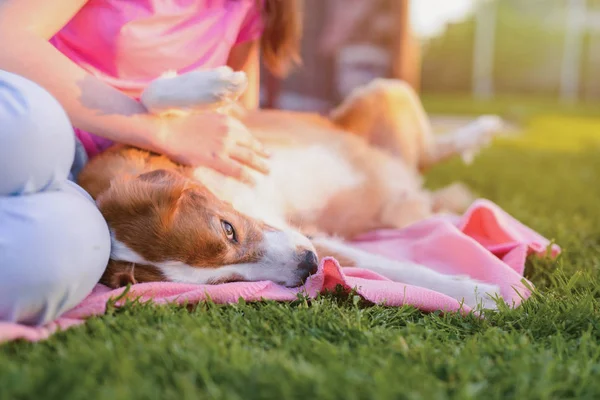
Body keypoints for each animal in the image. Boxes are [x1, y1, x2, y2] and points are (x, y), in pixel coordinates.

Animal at [77, 66, 504, 310]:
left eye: (228, 229)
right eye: (229, 282)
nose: (309, 267)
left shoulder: (225, 125)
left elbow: (151, 100)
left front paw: (216, 83)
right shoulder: (310, 237)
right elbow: (389, 266)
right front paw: (478, 293)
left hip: (385, 87)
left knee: (429, 151)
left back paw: (479, 131)